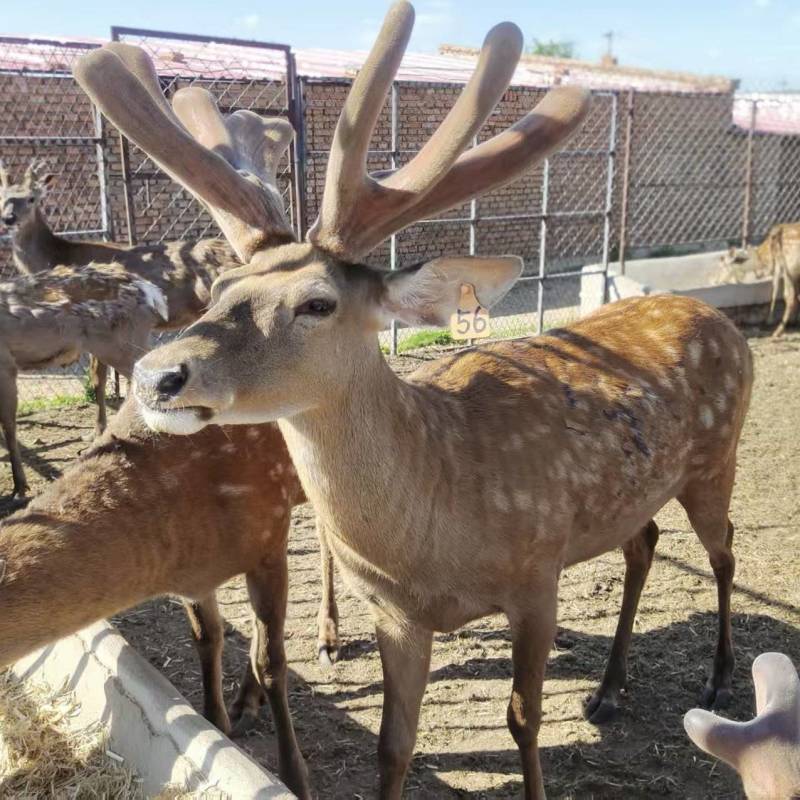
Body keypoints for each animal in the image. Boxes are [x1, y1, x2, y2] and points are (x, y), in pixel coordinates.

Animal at [0, 158, 247, 435]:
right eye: (3, 196)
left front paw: (98, 429)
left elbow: (97, 379)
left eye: (31, 198)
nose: (8, 218)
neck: (57, 255)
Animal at [0, 398, 343, 799]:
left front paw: (295, 781)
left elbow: (272, 664)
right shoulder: (196, 581)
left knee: (327, 535)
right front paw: (219, 723)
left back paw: (327, 640)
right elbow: (207, 638)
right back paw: (246, 701)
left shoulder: (269, 536)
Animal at [75, 7, 754, 797]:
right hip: (639, 491)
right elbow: (393, 745)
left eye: (317, 302)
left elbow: (524, 720)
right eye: (219, 290)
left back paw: (718, 679)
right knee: (644, 541)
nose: (157, 375)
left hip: (717, 457)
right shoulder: (396, 615)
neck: (436, 533)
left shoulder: (538, 574)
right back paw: (609, 690)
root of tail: (720, 321)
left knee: (724, 548)